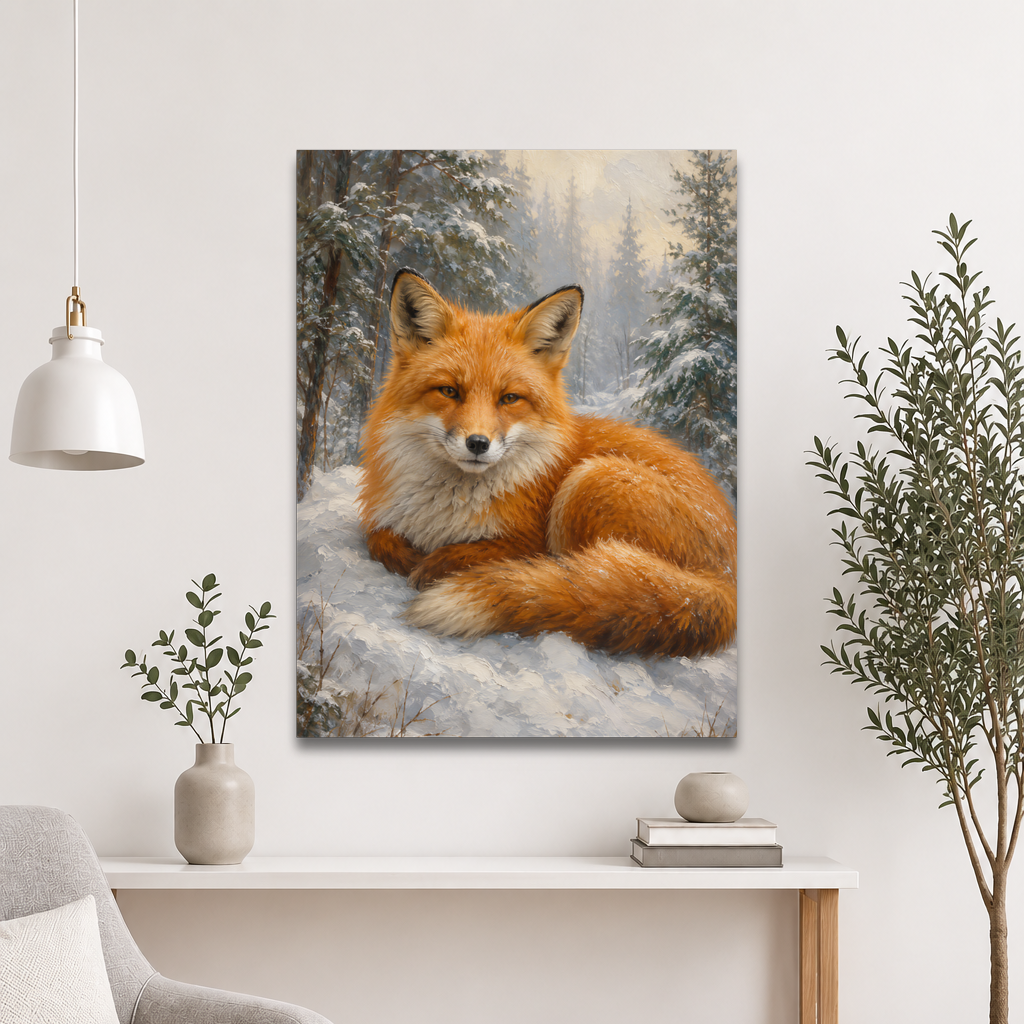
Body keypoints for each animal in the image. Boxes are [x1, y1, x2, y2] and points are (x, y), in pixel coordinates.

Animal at [357, 268, 737, 659]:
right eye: (449, 391)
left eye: (509, 398)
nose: (478, 444)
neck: (445, 509)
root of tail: (727, 579)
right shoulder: (384, 517)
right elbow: (378, 538)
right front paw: (407, 555)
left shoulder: (528, 540)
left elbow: (480, 553)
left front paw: (436, 564)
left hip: (590, 480)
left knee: (584, 579)